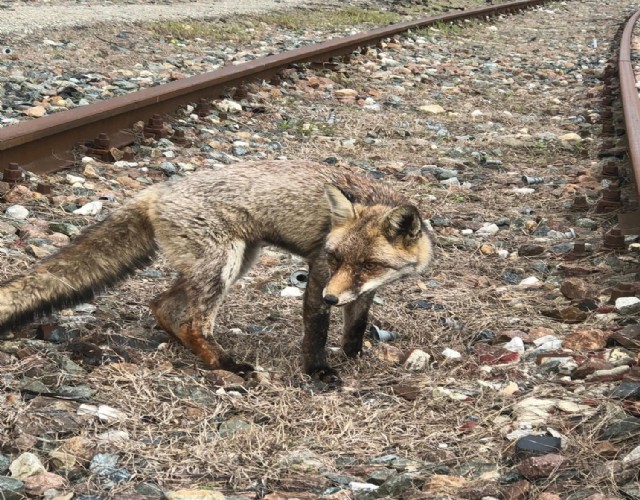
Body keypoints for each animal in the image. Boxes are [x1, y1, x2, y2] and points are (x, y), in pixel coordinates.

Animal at [0, 160, 436, 382]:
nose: (332, 297)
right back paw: (227, 365)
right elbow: (316, 330)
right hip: (223, 264)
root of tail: (157, 190)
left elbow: (356, 324)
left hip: (235, 261)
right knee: (192, 321)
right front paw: (319, 370)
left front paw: (354, 355)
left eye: (369, 265)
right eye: (334, 258)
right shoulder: (317, 274)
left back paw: (186, 345)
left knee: (162, 304)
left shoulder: (364, 289)